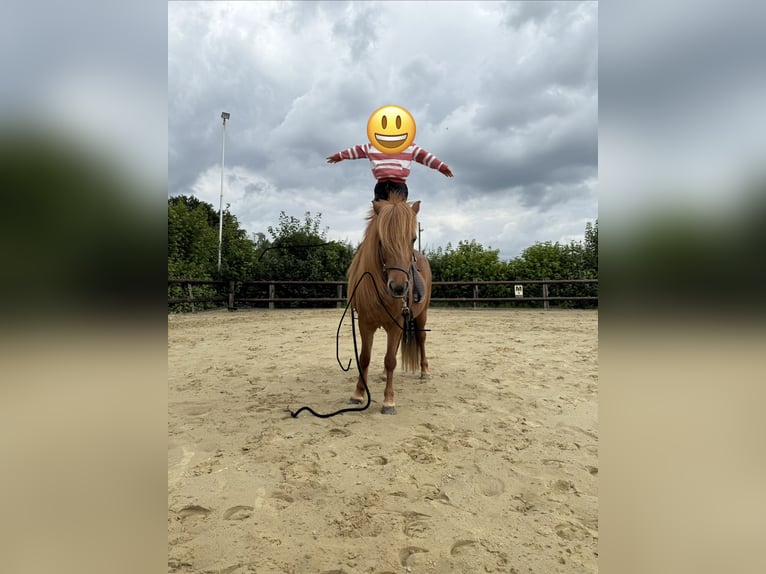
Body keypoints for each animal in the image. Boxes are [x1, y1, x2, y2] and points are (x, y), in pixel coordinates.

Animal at [346, 192, 432, 414]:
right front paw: (358, 394)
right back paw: (384, 375)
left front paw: (388, 401)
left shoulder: (395, 324)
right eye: (382, 240)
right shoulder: (365, 324)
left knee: (421, 339)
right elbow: (364, 358)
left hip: (421, 315)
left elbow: (391, 360)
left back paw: (425, 371)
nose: (399, 287)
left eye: (413, 239)